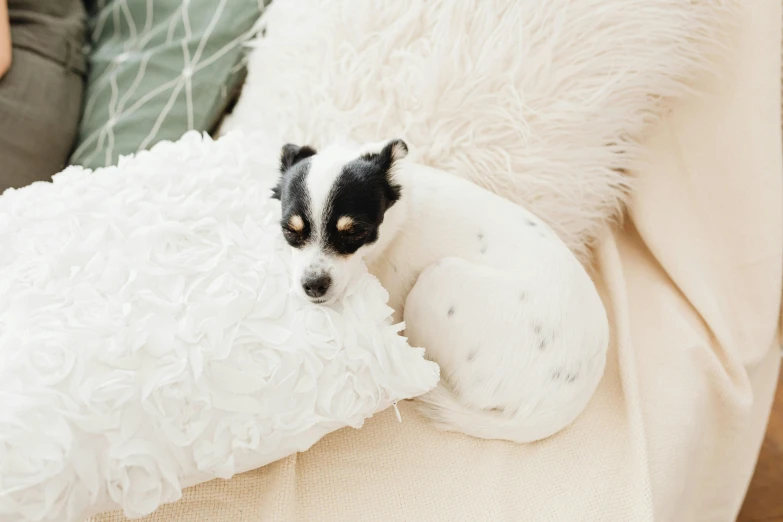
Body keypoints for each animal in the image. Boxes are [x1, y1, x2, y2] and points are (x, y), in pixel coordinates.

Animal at [272, 137, 608, 438]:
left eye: (355, 232)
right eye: (290, 231)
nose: (313, 285)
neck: (399, 212)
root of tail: (551, 409)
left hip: (435, 280)